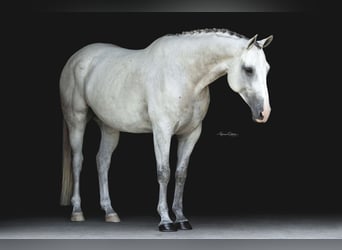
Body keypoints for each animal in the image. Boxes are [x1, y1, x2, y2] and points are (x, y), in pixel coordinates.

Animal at [59, 28, 272, 231]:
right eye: (248, 69)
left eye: (267, 69)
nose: (264, 113)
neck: (183, 74)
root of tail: (75, 58)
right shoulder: (162, 131)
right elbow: (164, 173)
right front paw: (166, 221)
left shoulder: (191, 134)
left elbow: (180, 174)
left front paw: (181, 218)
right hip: (76, 121)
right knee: (78, 161)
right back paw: (77, 211)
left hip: (109, 126)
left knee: (102, 161)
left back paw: (110, 212)